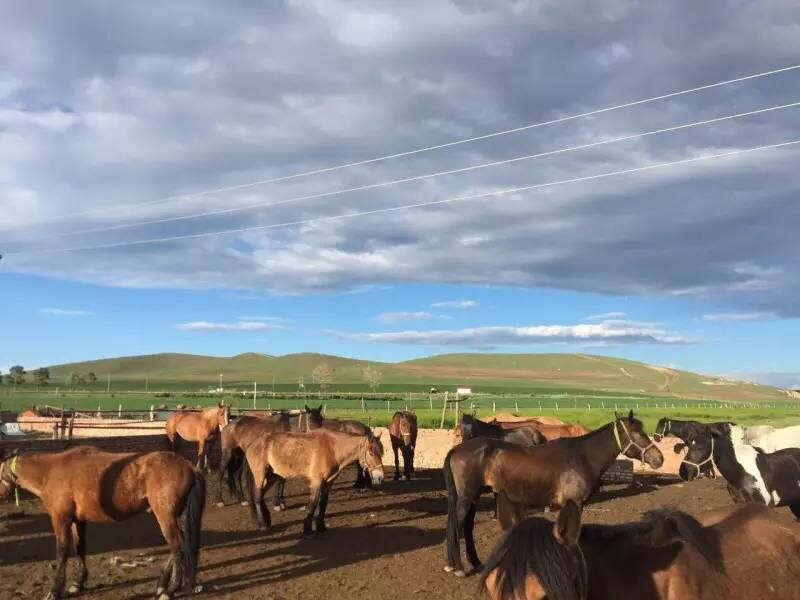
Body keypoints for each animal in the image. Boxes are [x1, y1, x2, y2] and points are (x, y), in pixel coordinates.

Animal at [0, 446, 206, 600]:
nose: (1, 496)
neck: (50, 472)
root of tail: (189, 466)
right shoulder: (77, 521)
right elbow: (80, 548)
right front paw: (78, 583)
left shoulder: (61, 519)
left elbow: (62, 553)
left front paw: (55, 591)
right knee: (178, 546)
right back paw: (161, 585)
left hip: (165, 516)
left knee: (177, 546)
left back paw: (170, 590)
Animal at [244, 428, 384, 536]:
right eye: (371, 453)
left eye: (382, 453)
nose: (380, 477)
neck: (332, 448)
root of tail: (253, 444)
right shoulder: (316, 482)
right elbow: (313, 504)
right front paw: (307, 529)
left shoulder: (328, 483)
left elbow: (323, 504)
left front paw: (321, 527)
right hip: (260, 476)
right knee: (257, 497)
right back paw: (263, 525)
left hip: (272, 477)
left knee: (260, 496)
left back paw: (266, 521)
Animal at [444, 410, 664, 576]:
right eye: (639, 433)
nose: (659, 458)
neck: (581, 457)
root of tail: (457, 449)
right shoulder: (575, 503)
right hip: (466, 497)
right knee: (457, 525)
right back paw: (457, 567)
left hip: (474, 496)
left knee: (467, 526)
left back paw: (475, 562)